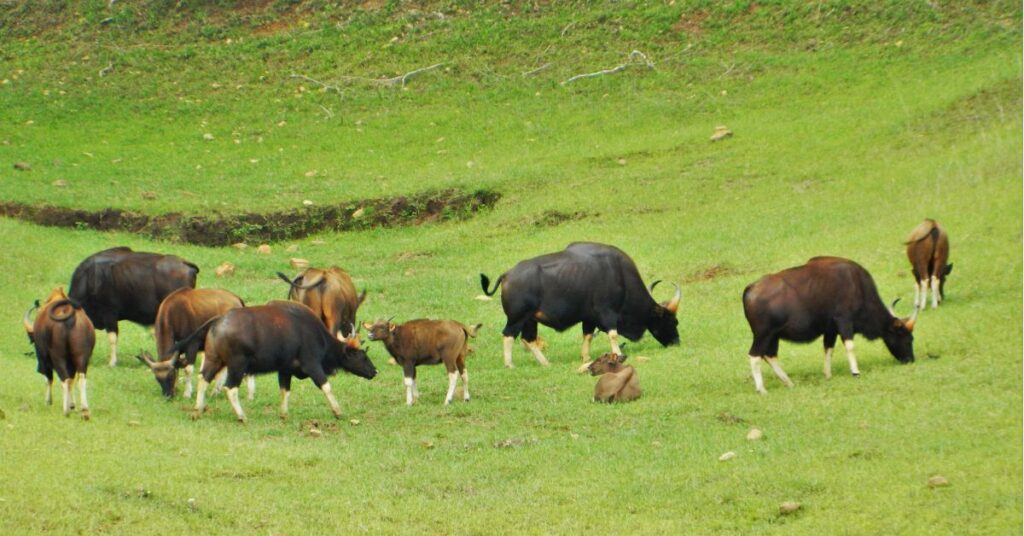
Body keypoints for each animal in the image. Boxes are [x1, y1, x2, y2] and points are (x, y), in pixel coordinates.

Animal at [22, 289, 95, 420]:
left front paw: (48, 401)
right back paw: (84, 411)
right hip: (82, 357)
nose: (38, 369)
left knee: (64, 379)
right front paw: (72, 404)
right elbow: (72, 380)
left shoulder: (44, 360)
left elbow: (49, 379)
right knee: (80, 378)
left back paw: (66, 411)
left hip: (57, 357)